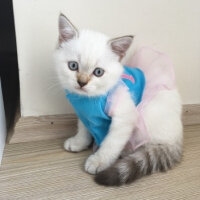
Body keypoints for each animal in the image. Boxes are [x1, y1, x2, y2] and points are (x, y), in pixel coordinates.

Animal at [53, 13, 183, 186]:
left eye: (98, 72)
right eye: (73, 66)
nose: (81, 82)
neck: (89, 99)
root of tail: (178, 139)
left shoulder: (125, 116)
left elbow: (111, 143)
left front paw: (99, 161)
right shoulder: (85, 113)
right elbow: (84, 128)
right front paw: (79, 142)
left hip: (149, 114)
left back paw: (127, 151)